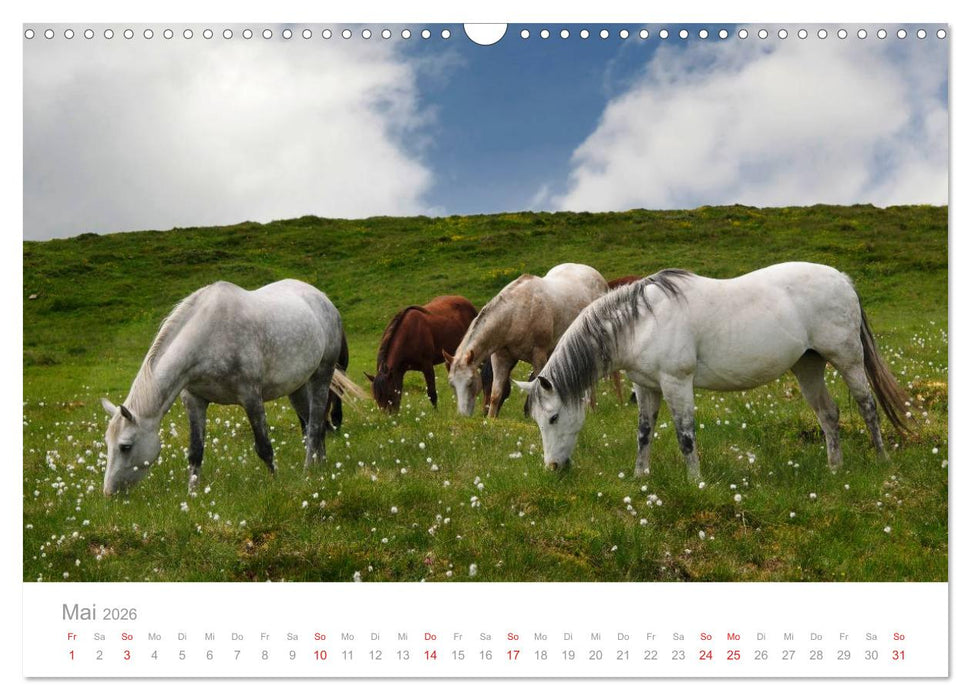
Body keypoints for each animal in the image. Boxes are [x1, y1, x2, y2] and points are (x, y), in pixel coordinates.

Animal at [100, 279, 364, 496]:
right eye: (107, 444)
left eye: (125, 446)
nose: (109, 492)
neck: (208, 337)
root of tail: (323, 299)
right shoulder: (194, 401)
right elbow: (195, 451)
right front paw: (192, 495)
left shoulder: (251, 397)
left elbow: (264, 448)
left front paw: (276, 484)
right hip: (297, 388)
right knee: (313, 426)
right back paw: (320, 468)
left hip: (321, 375)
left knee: (316, 425)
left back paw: (309, 470)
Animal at [366, 296, 501, 414]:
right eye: (376, 398)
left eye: (388, 394)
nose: (389, 418)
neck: (409, 335)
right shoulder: (399, 371)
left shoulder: (427, 366)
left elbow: (432, 393)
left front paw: (436, 413)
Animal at [446, 263, 608, 418]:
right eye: (452, 385)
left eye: (470, 383)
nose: (463, 415)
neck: (515, 314)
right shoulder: (500, 358)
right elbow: (496, 395)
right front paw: (491, 420)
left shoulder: (539, 355)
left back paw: (591, 409)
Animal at [516, 262, 913, 479]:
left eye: (552, 418)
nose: (552, 468)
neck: (642, 321)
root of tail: (843, 279)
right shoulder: (647, 387)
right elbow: (644, 433)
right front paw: (640, 476)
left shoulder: (677, 383)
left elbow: (685, 435)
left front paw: (695, 481)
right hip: (808, 365)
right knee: (829, 415)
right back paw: (835, 468)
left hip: (847, 360)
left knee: (867, 407)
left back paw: (882, 460)